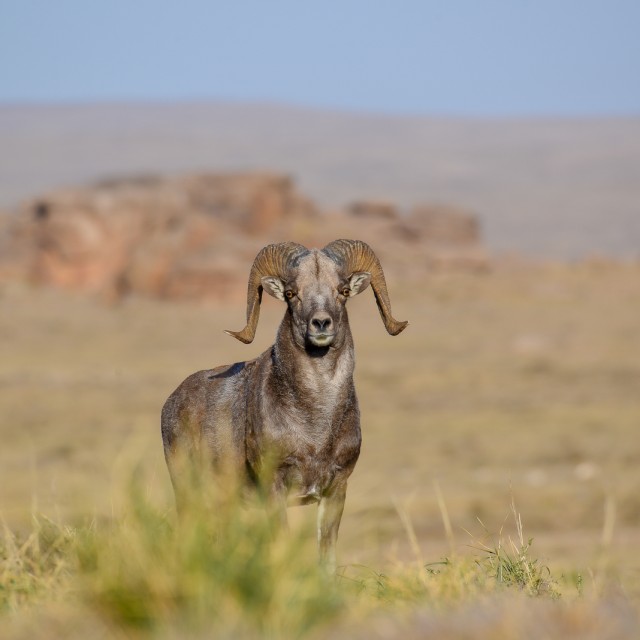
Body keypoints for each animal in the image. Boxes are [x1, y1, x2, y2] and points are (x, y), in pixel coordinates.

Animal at [161, 239, 407, 569]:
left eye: (342, 291)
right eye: (291, 293)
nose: (321, 323)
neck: (316, 428)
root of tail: (171, 402)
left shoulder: (335, 490)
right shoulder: (275, 487)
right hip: (189, 492)